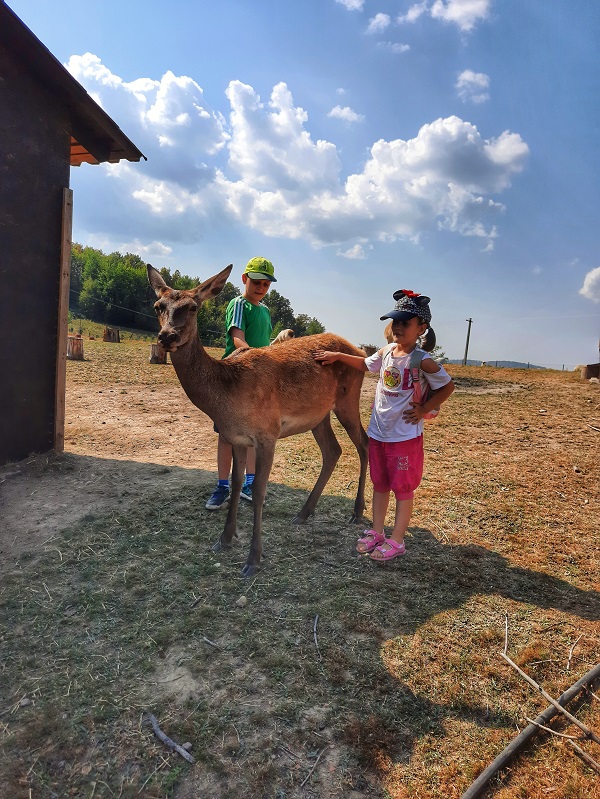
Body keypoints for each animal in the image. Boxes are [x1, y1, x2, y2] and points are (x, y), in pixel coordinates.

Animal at [147, 263, 369, 576]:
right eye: (158, 306)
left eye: (192, 307)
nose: (167, 336)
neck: (227, 397)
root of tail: (361, 352)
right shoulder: (235, 437)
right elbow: (237, 482)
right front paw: (224, 539)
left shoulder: (268, 433)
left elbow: (261, 492)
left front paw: (253, 559)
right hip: (319, 415)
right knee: (333, 451)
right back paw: (303, 513)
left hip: (348, 401)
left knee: (364, 444)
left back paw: (357, 512)